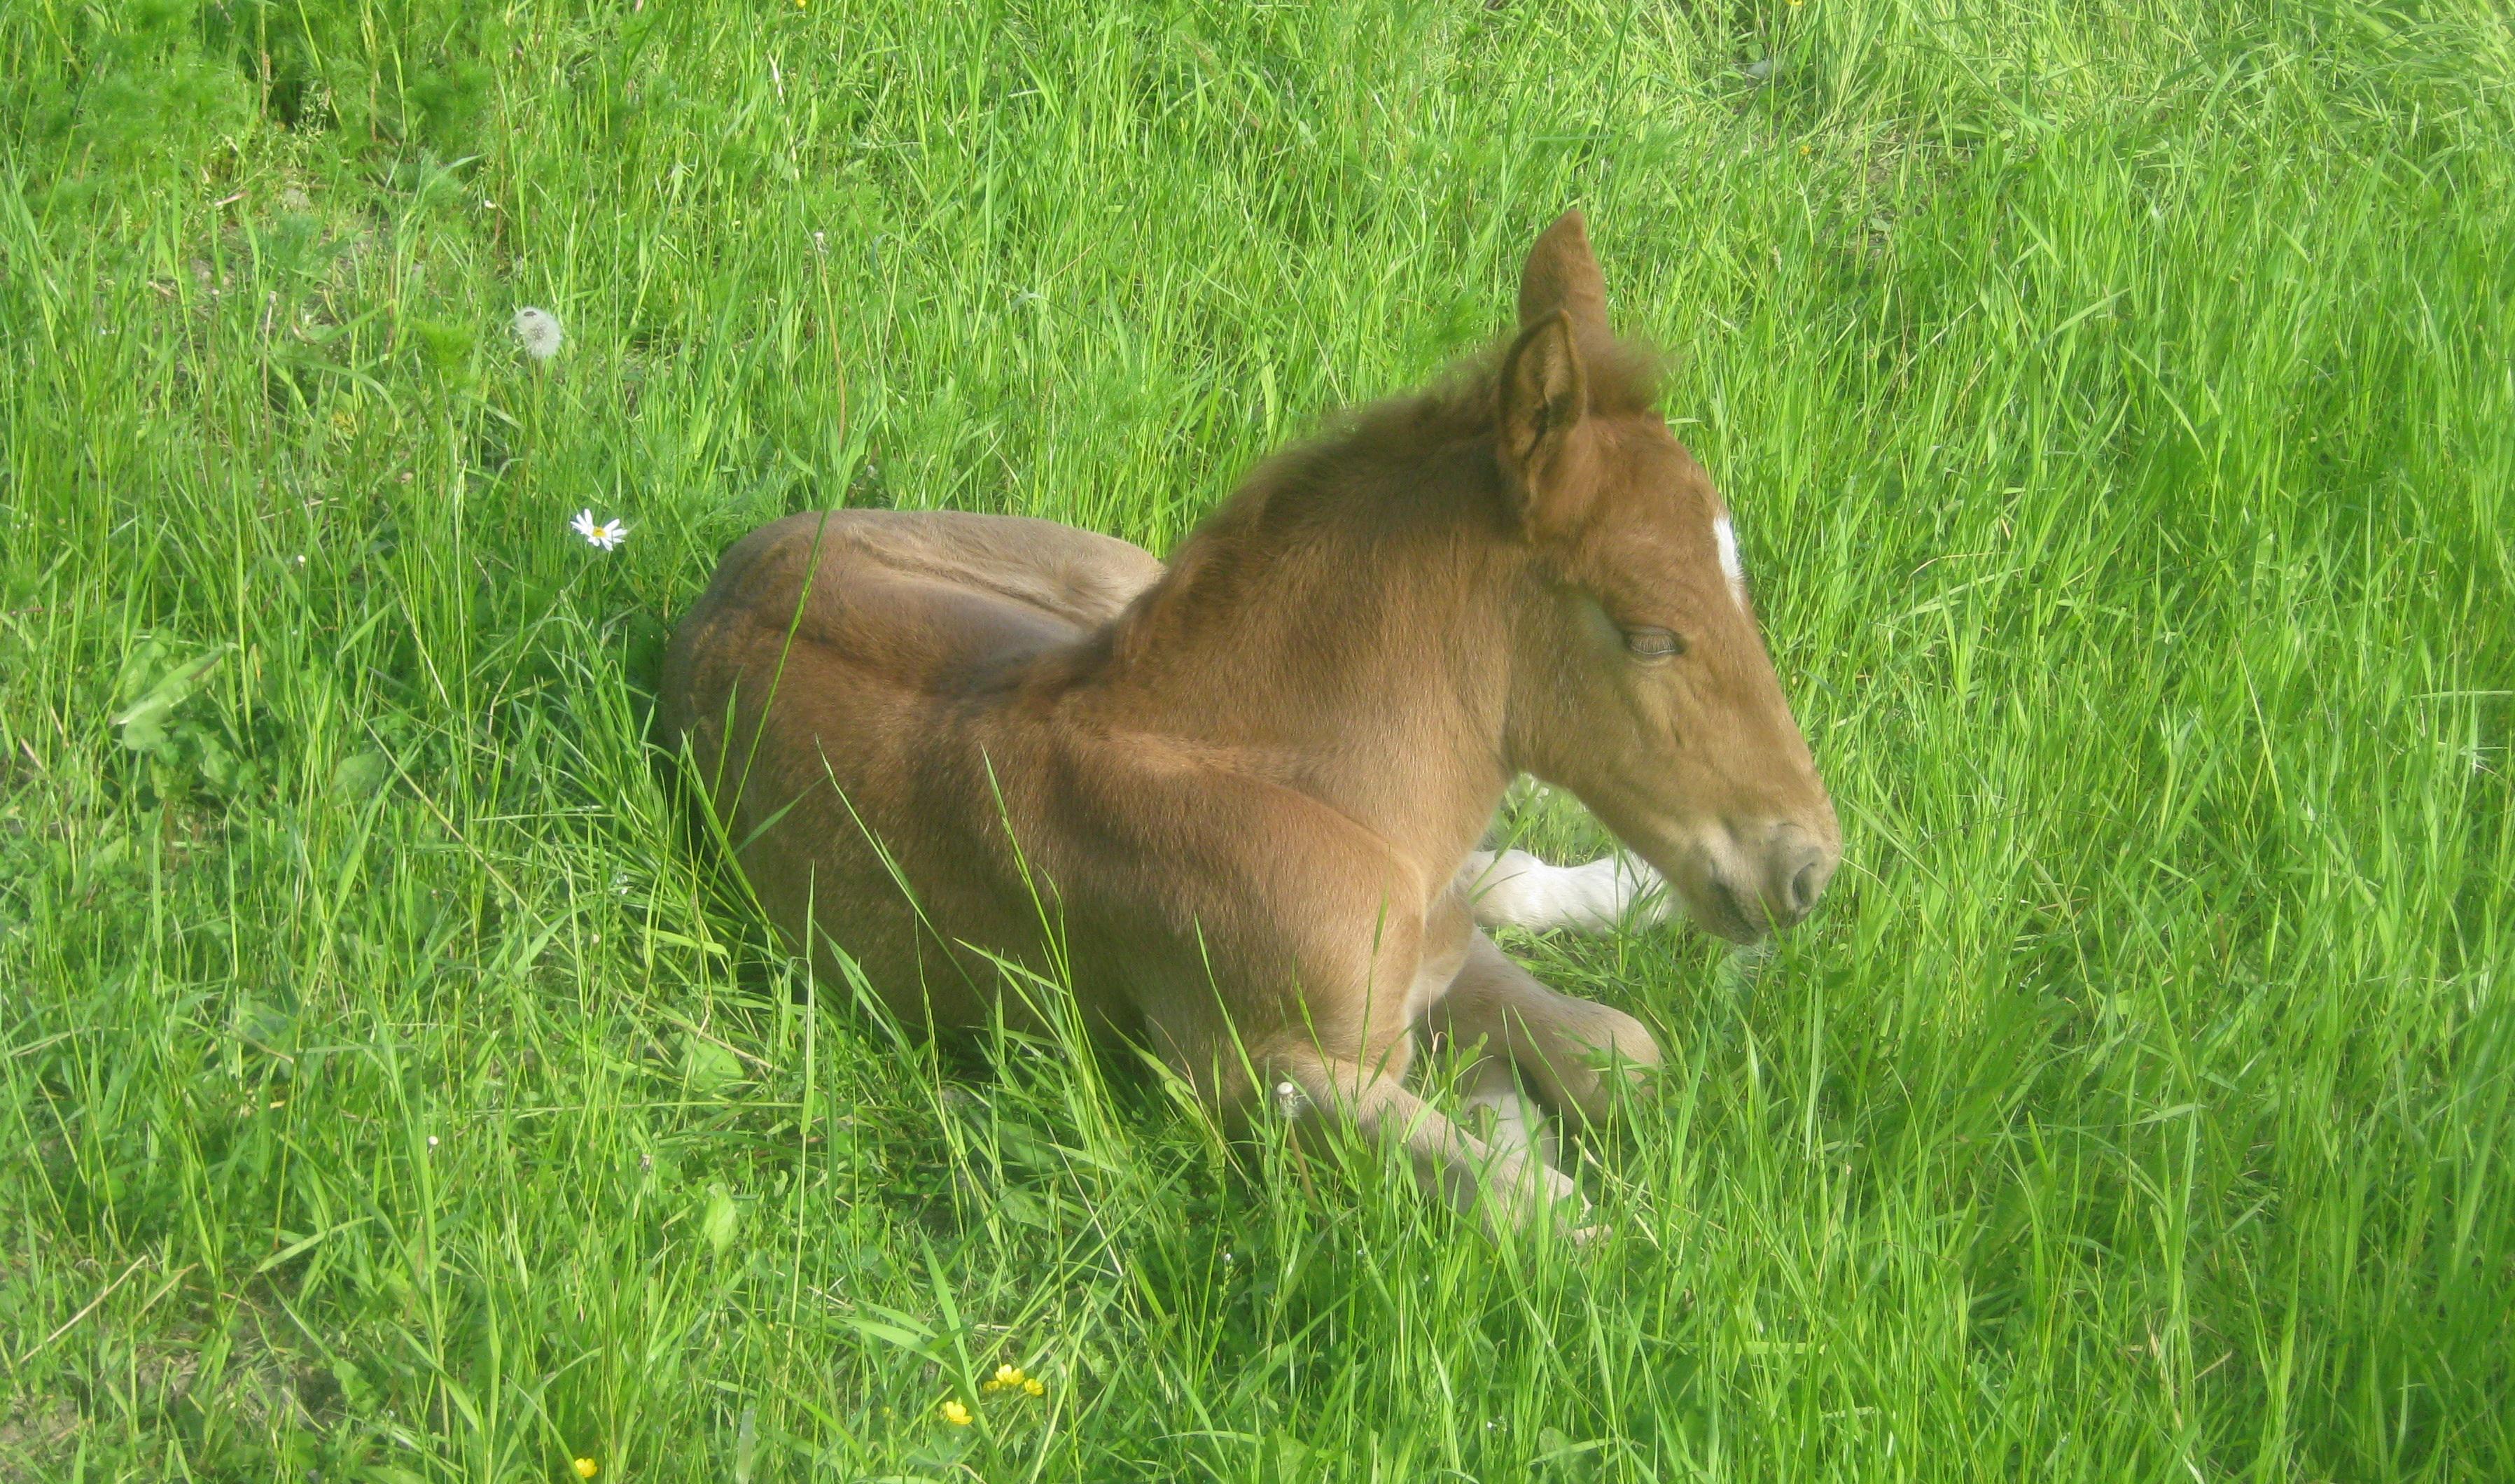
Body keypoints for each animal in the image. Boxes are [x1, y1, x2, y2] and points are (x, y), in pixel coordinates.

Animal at [659, 212, 1841, 1232]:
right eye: (1651, 636)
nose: (1806, 868)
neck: (1320, 798)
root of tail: (720, 584)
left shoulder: (1433, 947)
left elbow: (1619, 1051)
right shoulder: (1251, 1077)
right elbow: (1534, 1203)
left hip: (1109, 576)